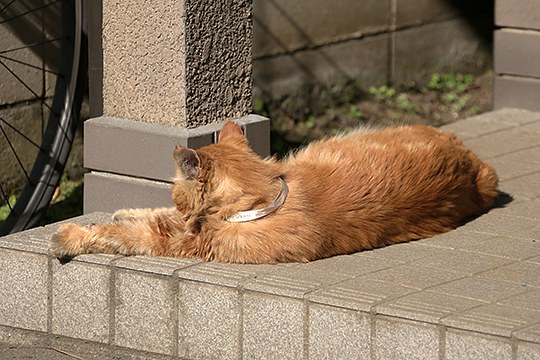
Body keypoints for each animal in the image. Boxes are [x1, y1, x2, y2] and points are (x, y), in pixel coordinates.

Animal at [50, 119, 498, 262]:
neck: (259, 199)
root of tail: (472, 165)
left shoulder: (177, 243)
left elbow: (122, 234)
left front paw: (69, 236)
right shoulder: (184, 228)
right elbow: (152, 215)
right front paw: (122, 211)